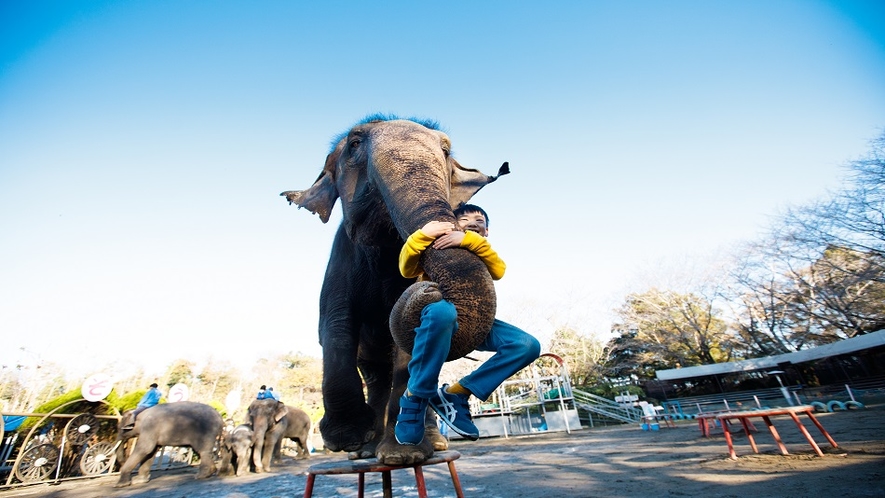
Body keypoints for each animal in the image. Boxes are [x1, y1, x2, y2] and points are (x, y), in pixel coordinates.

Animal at [280, 115, 508, 464]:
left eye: (445, 151)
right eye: (354, 144)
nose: (430, 288)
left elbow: (411, 348)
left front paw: (403, 456)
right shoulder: (339, 263)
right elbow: (335, 325)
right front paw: (346, 437)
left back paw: (427, 445)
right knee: (375, 375)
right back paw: (363, 450)